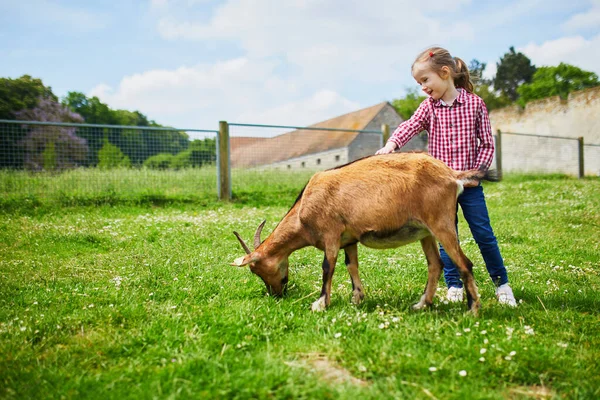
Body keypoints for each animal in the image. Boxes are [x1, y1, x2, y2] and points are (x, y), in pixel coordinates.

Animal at [230, 152, 492, 314]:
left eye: (257, 269)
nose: (276, 294)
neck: (304, 209)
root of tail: (453, 176)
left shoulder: (331, 233)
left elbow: (328, 267)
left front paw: (321, 303)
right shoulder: (349, 239)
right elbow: (351, 265)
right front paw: (357, 297)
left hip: (441, 223)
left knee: (464, 263)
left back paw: (472, 310)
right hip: (425, 231)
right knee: (435, 264)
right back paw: (421, 304)